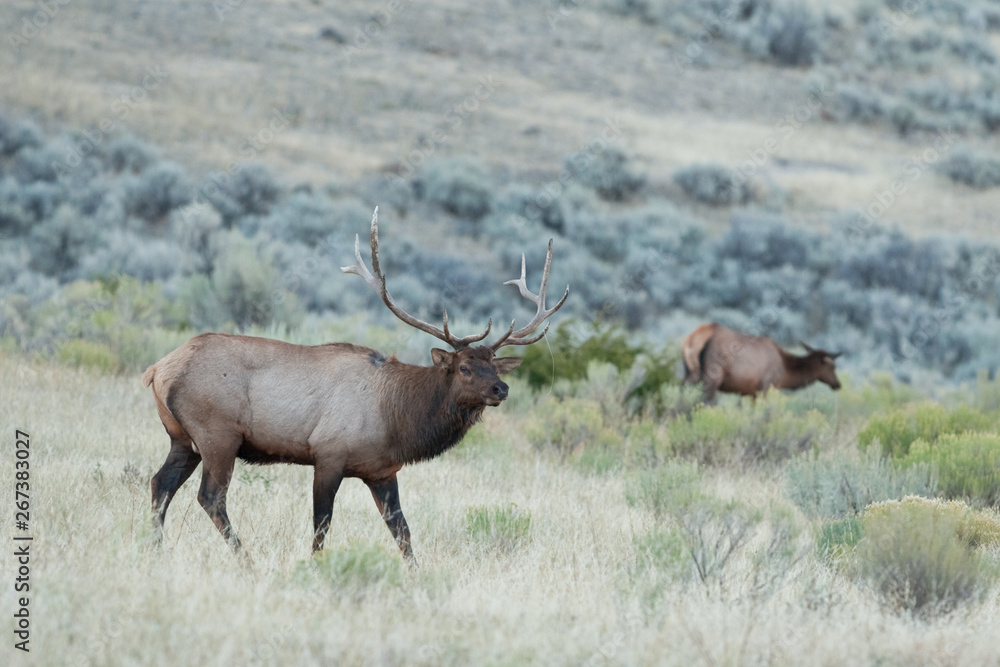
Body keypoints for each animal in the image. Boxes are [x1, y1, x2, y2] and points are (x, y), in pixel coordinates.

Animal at [142, 209, 568, 564]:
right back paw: (245, 559)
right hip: (218, 434)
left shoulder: (382, 471)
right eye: (464, 367)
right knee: (210, 497)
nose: (501, 390)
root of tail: (157, 369)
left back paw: (155, 550)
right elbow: (321, 526)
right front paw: (314, 568)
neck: (397, 419)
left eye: (494, 365)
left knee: (160, 483)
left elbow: (402, 531)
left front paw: (415, 573)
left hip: (183, 438)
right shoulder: (328, 454)